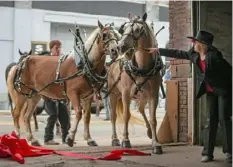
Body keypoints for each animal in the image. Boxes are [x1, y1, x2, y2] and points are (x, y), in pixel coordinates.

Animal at [107, 13, 164, 154]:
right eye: (124, 28)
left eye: (138, 29)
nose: (120, 46)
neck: (142, 67)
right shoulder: (126, 93)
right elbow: (126, 115)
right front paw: (125, 140)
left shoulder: (153, 94)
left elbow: (153, 119)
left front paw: (156, 143)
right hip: (113, 95)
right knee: (113, 116)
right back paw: (115, 139)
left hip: (142, 96)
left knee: (141, 109)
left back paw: (149, 131)